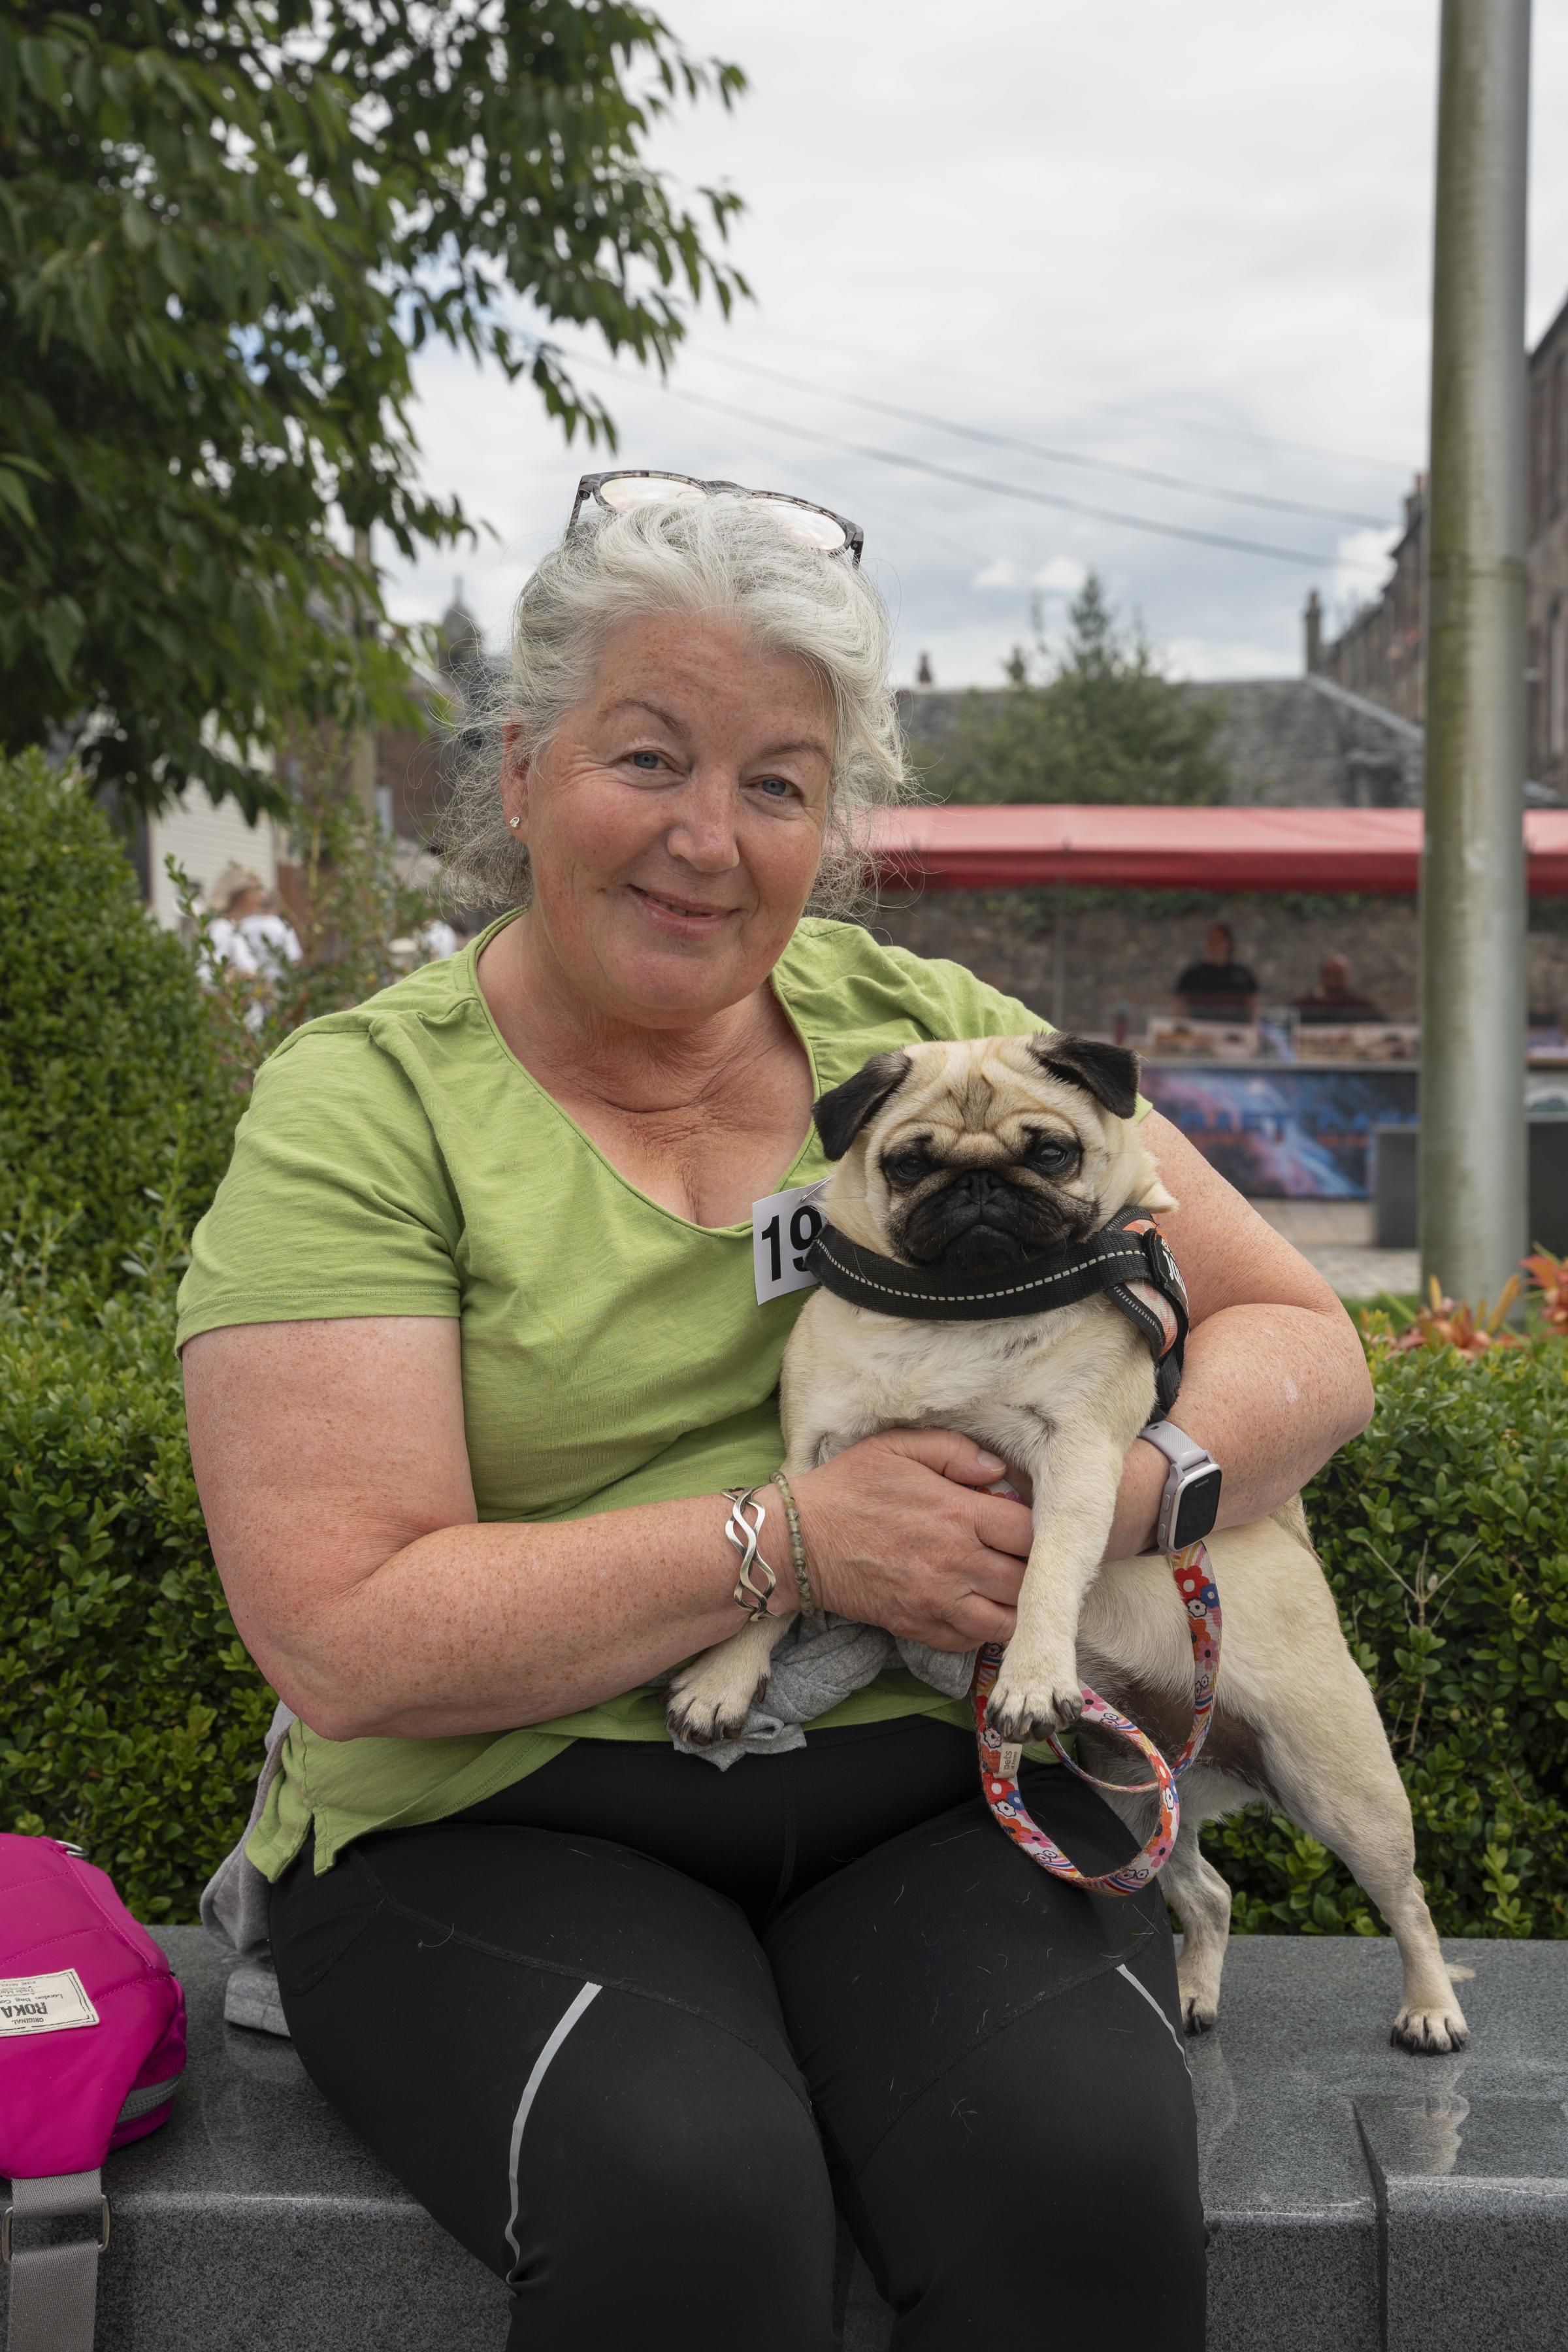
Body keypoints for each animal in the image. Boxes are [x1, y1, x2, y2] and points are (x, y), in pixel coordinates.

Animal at [672, 1039, 1476, 2051]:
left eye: (1049, 1154)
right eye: (911, 1164)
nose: (979, 1183)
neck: (956, 1313)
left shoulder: (1081, 1458)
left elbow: (1049, 1573)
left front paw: (1027, 1676)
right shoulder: (810, 1463)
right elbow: (776, 1566)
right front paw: (722, 1681)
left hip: (1340, 1785)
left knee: (1410, 1905)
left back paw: (1430, 2009)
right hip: (1127, 1792)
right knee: (1207, 1893)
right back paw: (1195, 1994)